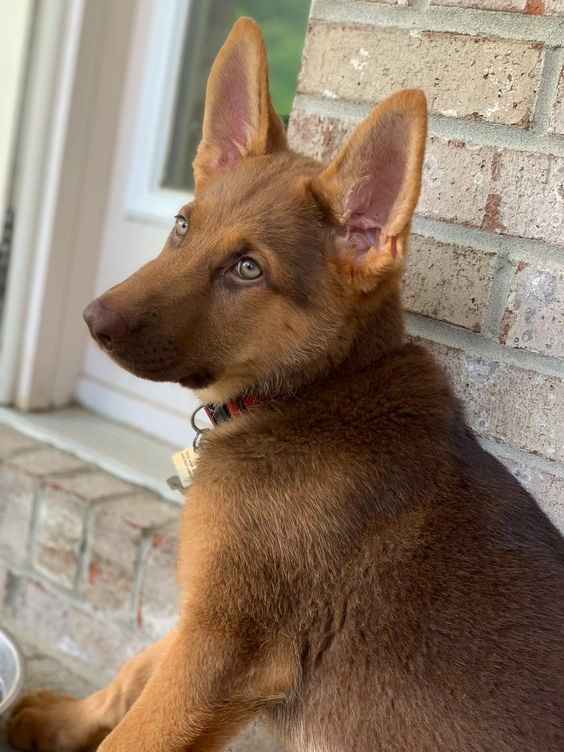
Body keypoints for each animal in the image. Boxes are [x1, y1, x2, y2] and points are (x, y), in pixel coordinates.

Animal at [8, 16, 564, 752]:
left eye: (247, 269)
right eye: (181, 225)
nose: (92, 322)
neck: (310, 391)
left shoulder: (224, 645)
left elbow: (137, 729)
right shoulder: (206, 620)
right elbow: (135, 673)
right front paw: (62, 719)